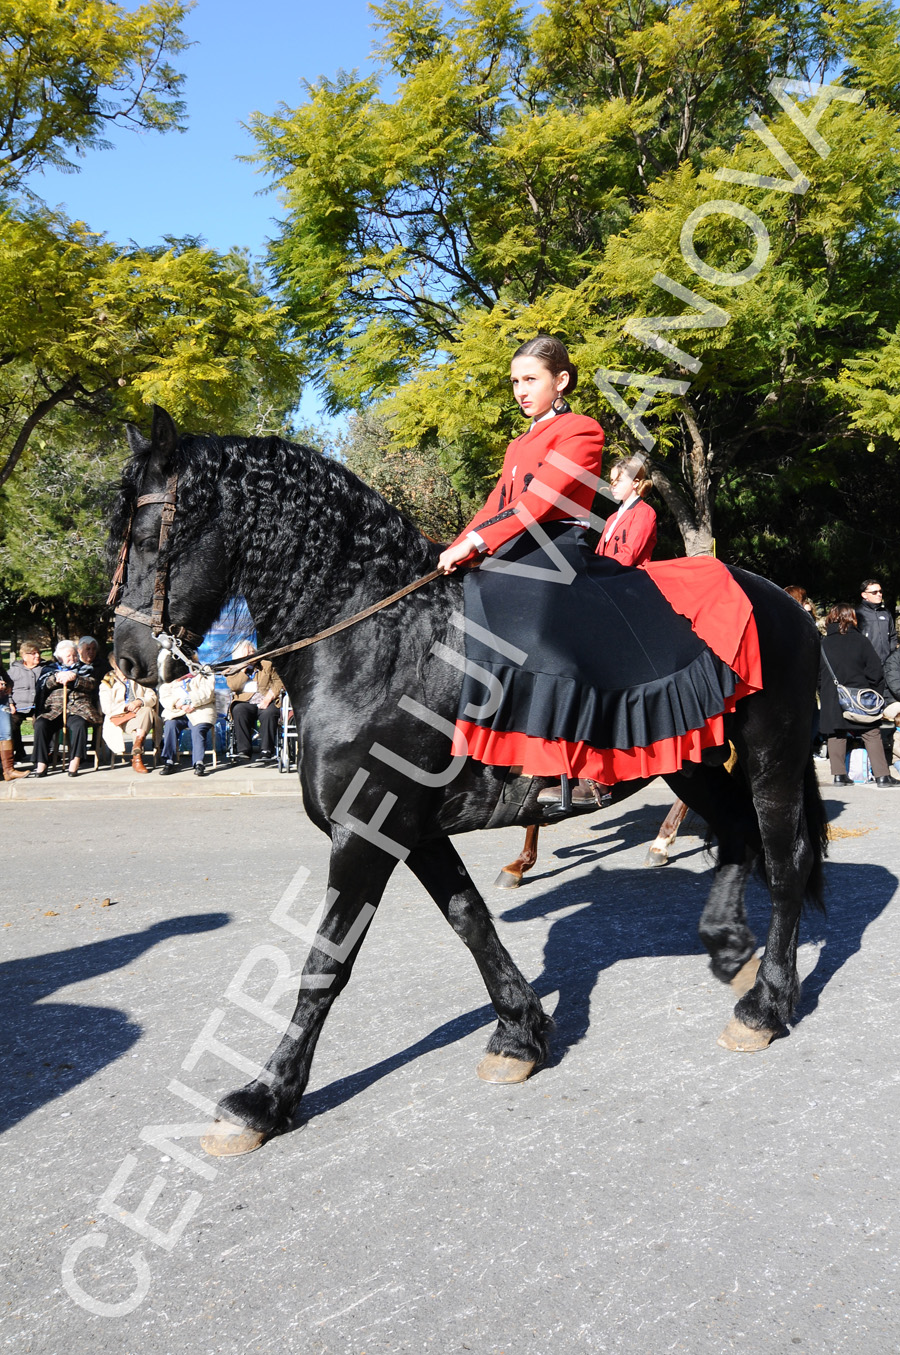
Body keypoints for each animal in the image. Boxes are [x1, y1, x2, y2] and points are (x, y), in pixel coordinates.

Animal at [112, 409, 829, 1154]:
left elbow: (326, 963)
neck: (383, 637)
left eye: (149, 533)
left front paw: (265, 1096)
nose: (126, 659)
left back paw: (766, 1004)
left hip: (770, 753)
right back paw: (729, 947)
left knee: (786, 860)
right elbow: (470, 921)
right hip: (693, 765)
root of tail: (788, 605)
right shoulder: (412, 830)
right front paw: (520, 1033)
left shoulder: (365, 832)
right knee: (739, 837)